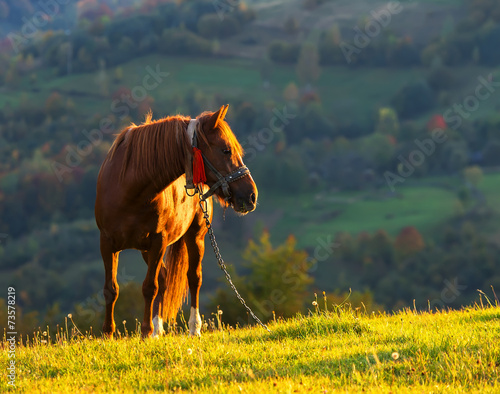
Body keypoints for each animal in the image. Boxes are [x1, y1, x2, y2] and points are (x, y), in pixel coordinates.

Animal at [94, 105, 258, 338]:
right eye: (226, 150)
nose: (251, 195)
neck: (129, 188)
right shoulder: (107, 243)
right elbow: (111, 289)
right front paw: (108, 334)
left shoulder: (158, 242)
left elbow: (149, 287)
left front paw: (145, 332)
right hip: (145, 249)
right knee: (163, 278)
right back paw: (158, 329)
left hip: (195, 237)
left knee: (193, 277)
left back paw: (193, 328)